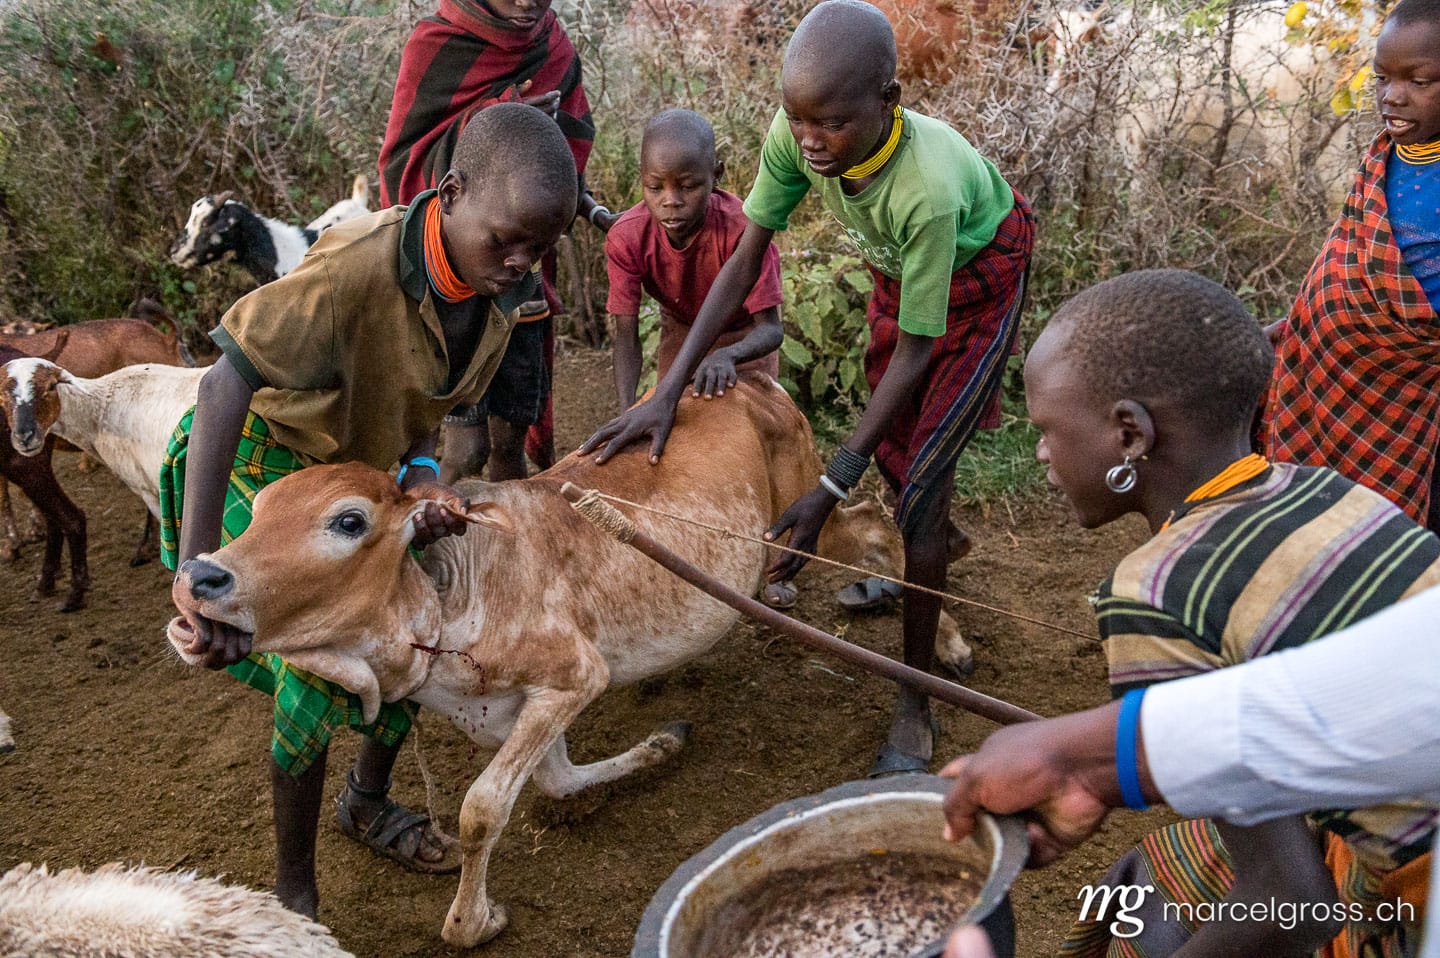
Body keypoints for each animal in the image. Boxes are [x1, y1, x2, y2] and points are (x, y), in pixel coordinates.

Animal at [167, 374, 970, 947]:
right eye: (259, 506)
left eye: (348, 521)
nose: (201, 577)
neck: (452, 590)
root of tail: (750, 380)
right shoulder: (523, 712)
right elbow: (557, 781)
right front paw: (660, 745)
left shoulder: (576, 678)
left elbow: (482, 810)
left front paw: (475, 921)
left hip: (797, 518)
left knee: (879, 531)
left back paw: (950, 644)